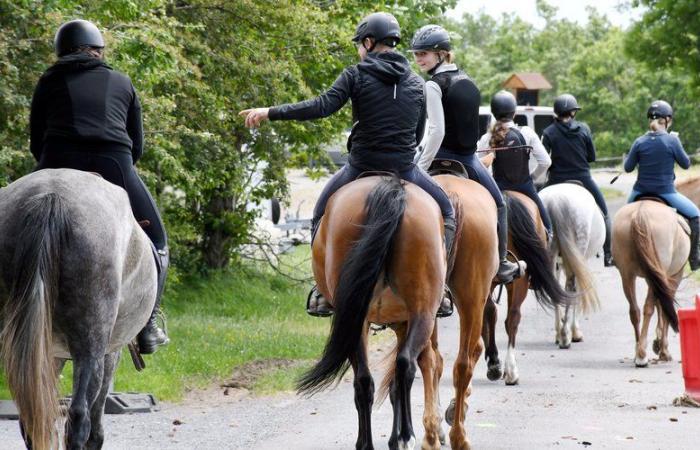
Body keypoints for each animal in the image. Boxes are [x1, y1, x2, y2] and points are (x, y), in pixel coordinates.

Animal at [0, 170, 156, 450]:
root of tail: (51, 196)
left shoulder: (49, 354)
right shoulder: (109, 353)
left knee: (32, 421)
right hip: (90, 348)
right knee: (79, 417)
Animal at [540, 183, 604, 348]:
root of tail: (556, 202)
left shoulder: (559, 264)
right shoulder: (581, 261)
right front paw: (575, 331)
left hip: (549, 253)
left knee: (554, 288)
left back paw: (559, 334)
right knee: (571, 288)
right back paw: (565, 336)